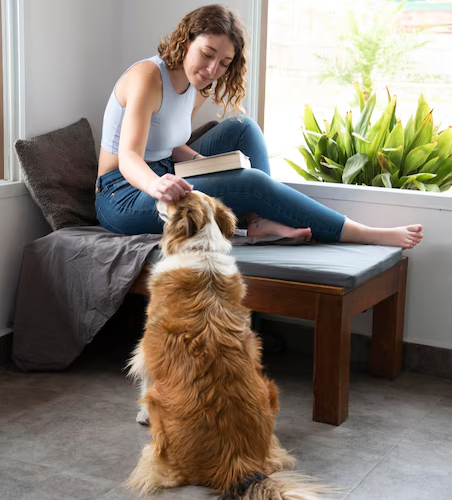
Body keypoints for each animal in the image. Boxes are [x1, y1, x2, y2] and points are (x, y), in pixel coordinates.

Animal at [126, 191, 328, 500]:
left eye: (173, 198)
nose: (155, 195)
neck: (203, 248)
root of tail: (238, 464)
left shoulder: (147, 350)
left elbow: (143, 382)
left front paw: (141, 416)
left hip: (160, 412)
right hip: (269, 389)